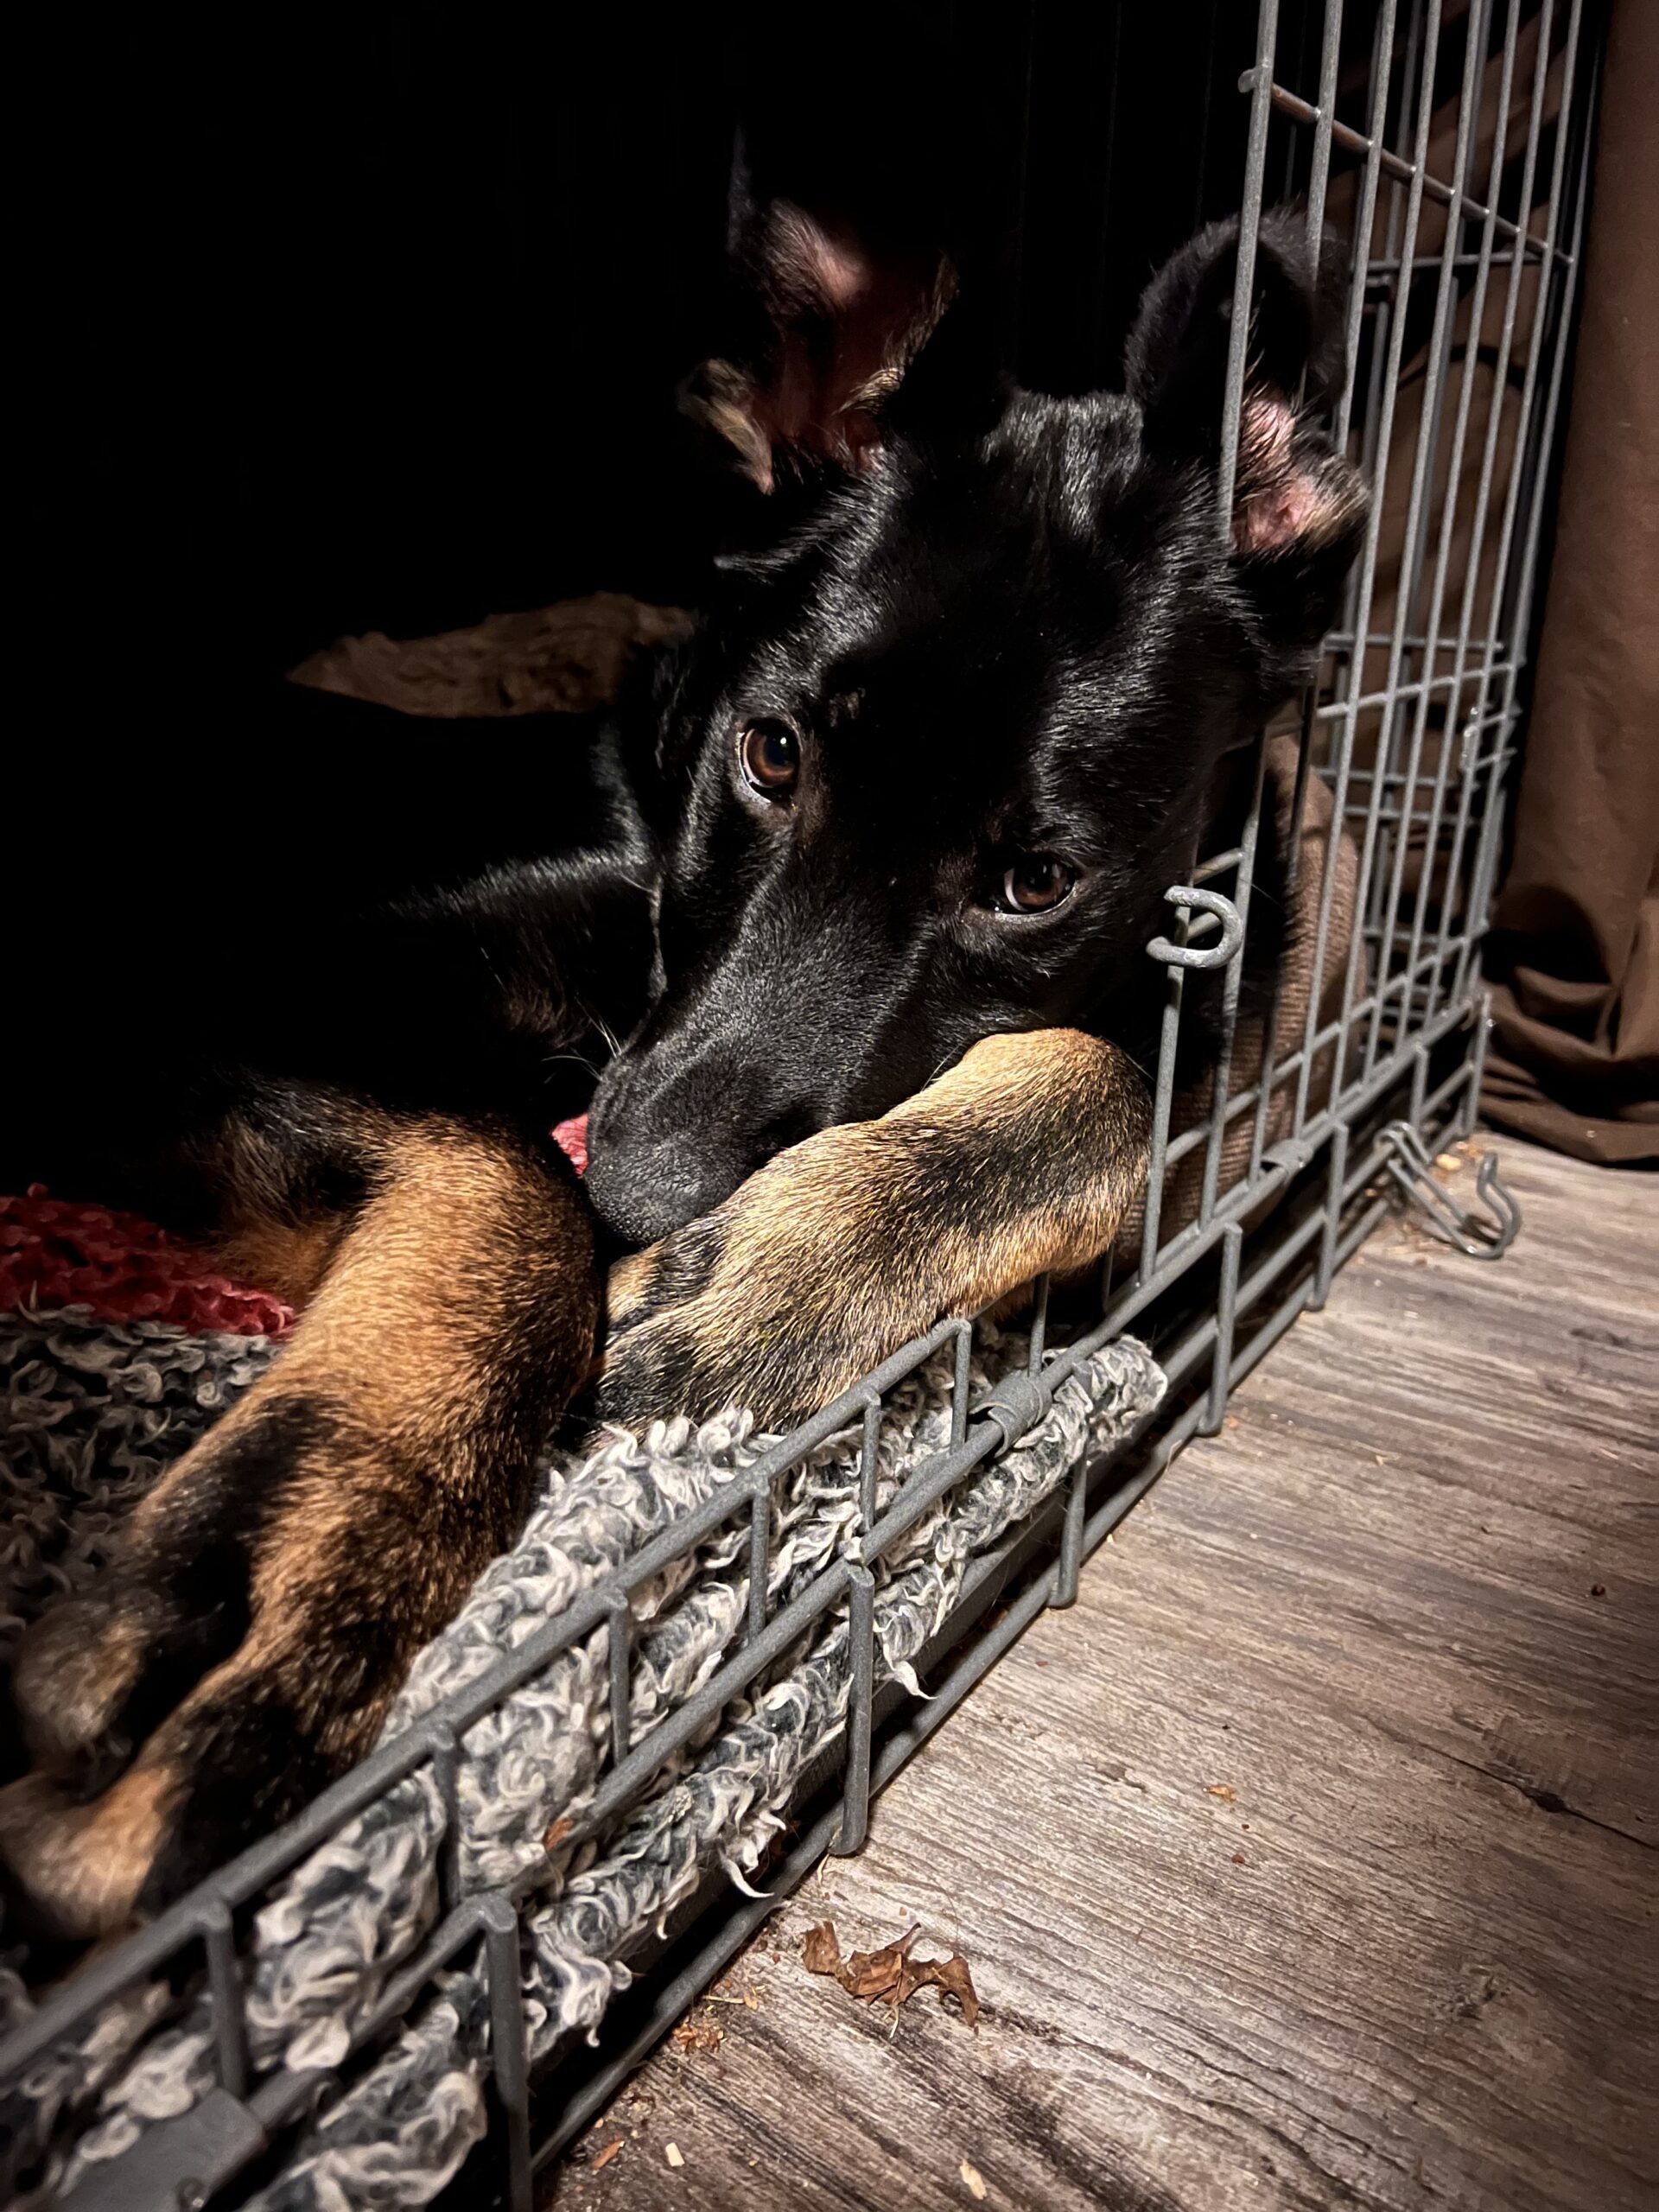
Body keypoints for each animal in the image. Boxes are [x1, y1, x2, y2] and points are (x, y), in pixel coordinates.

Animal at [0, 203, 1364, 1940]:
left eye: (1034, 883)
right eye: (771, 753)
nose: (643, 1188)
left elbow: (1108, 1087)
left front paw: (779, 1282)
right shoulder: (204, 1001)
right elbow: (510, 1184)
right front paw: (291, 1572)